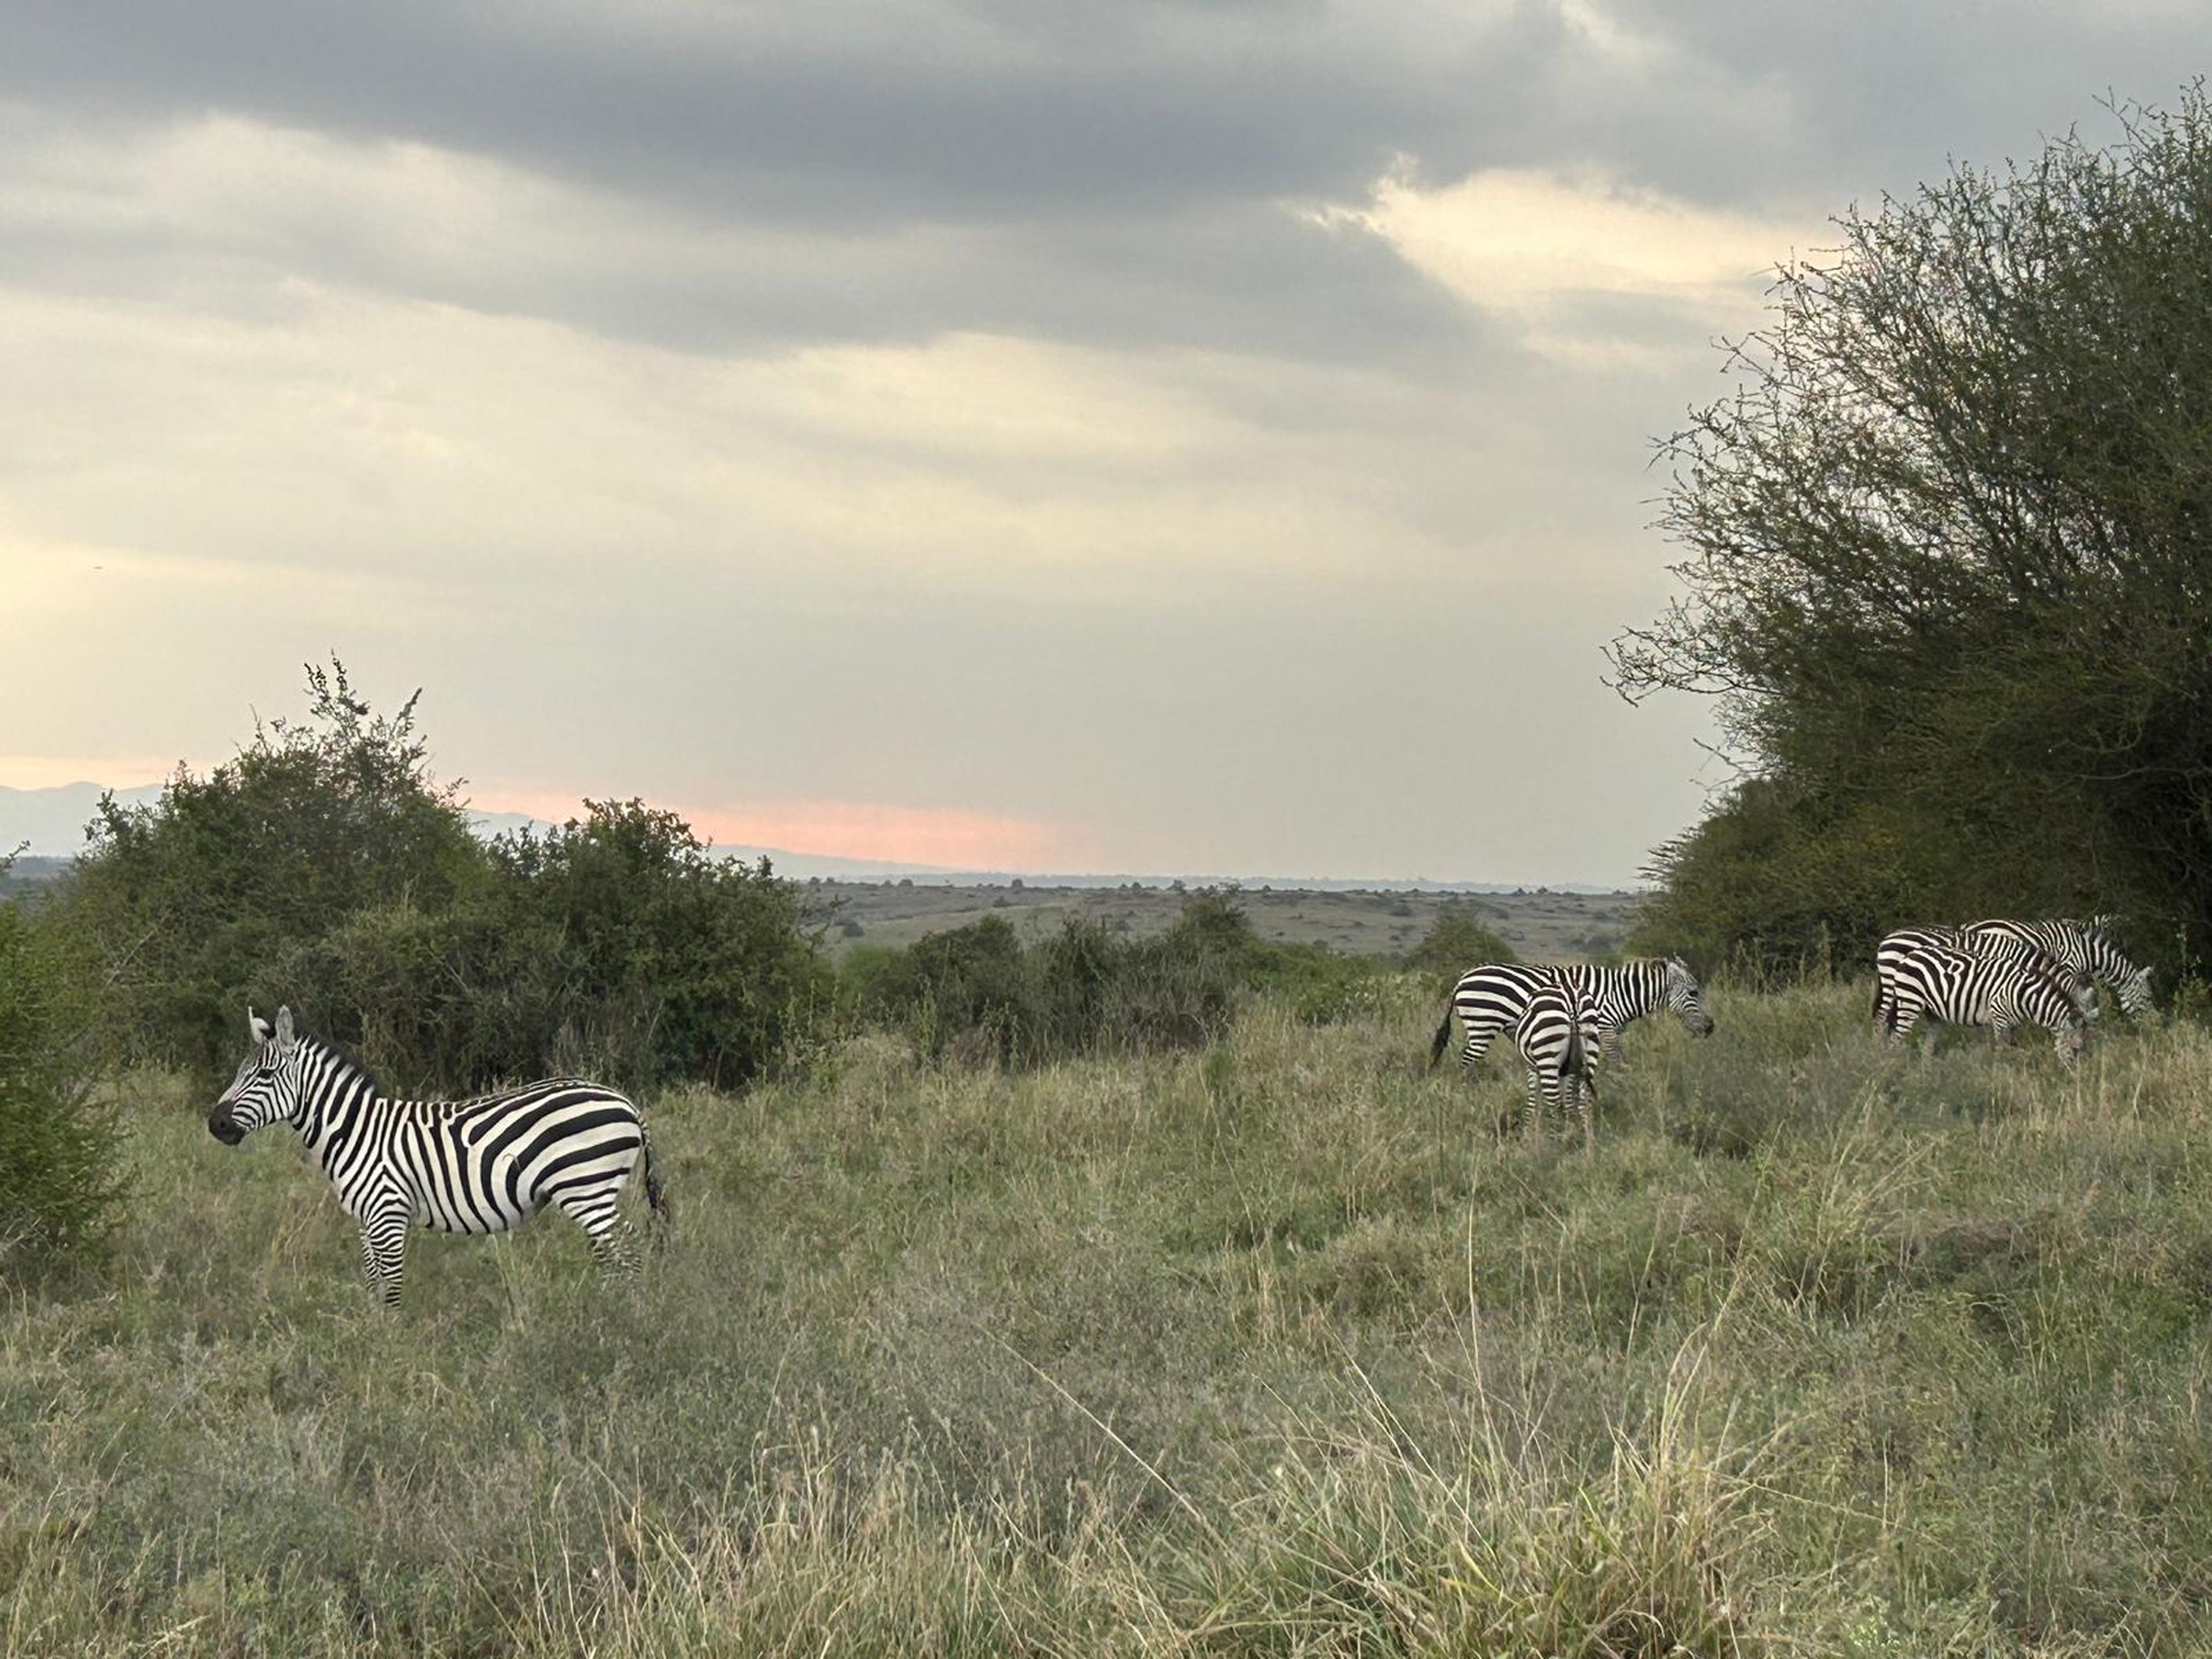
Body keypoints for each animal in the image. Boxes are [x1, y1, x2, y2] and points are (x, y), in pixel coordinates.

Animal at [208, 1005, 670, 1306]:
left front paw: (390, 1347)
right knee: (616, 1251)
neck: (355, 1131)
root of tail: (627, 1103)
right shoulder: (365, 1220)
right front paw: (371, 1335)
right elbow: (373, 1282)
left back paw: (620, 1315)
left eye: (265, 1075)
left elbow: (392, 1285)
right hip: (592, 1191)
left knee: (626, 1247)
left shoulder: (388, 1213)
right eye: (240, 1072)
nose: (216, 1124)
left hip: (586, 1187)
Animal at [1428, 956, 1715, 1079]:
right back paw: (1469, 1090)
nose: (1711, 1028)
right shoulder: (1605, 1028)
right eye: (1694, 992)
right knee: (1467, 1060)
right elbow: (1618, 1061)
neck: (1619, 994)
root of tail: (1462, 979)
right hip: (1483, 1024)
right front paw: (1624, 1086)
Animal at [1884, 943, 2088, 1063]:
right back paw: (1895, 1066)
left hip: (1932, 1012)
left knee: (1927, 1044)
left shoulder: (2014, 1023)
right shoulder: (1999, 1014)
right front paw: (1999, 1073)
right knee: (1896, 1037)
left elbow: (2011, 1046)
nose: (2074, 1078)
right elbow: (2001, 1048)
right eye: (2075, 1051)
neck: (2026, 995)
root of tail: (1909, 955)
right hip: (1910, 1001)